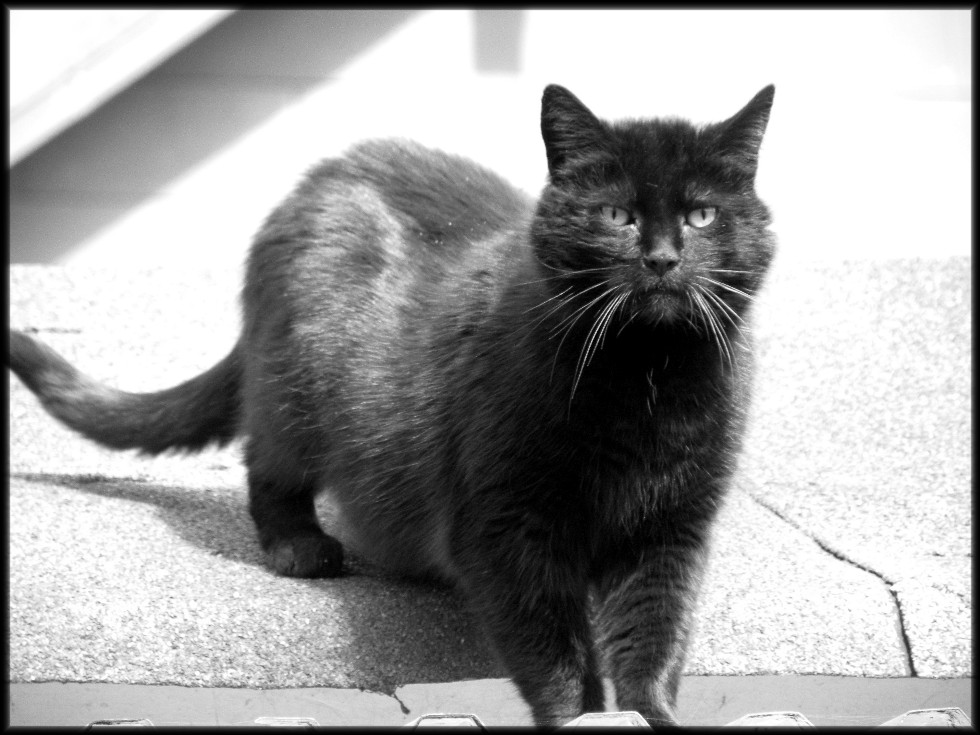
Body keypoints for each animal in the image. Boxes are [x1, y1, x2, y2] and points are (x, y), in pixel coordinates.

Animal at [5, 83, 772, 728]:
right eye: (616, 214)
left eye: (702, 214)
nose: (663, 259)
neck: (648, 383)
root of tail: (313, 184)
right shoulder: (507, 529)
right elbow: (554, 650)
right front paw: (580, 716)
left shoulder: (671, 532)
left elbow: (655, 636)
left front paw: (652, 713)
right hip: (296, 383)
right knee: (266, 460)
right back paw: (299, 544)